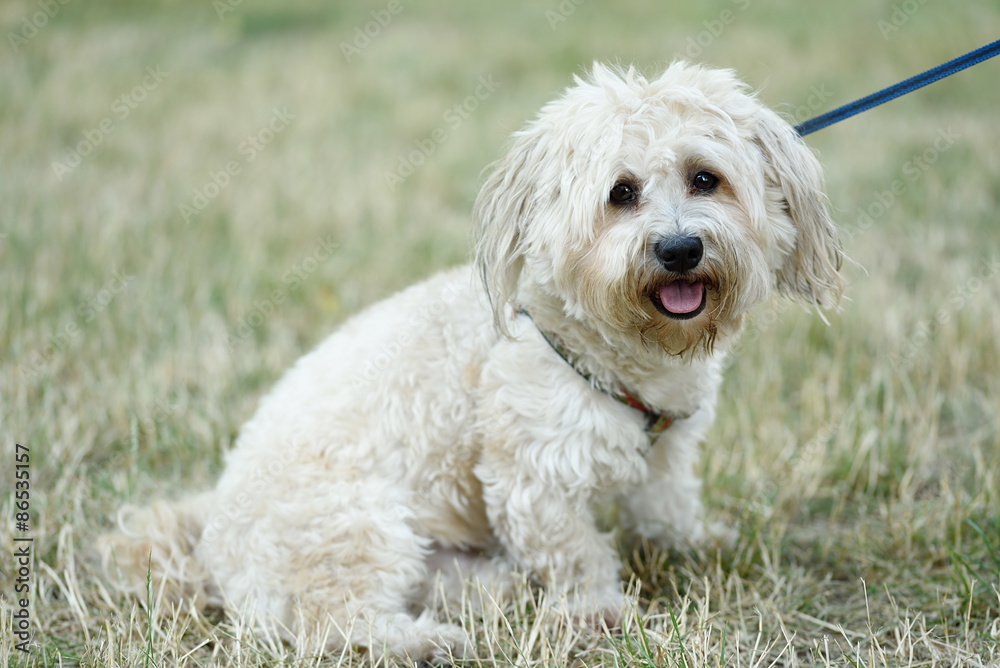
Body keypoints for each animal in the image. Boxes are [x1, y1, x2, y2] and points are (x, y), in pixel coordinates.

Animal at [105, 61, 844, 656]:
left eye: (705, 179)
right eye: (621, 194)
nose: (680, 249)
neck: (600, 343)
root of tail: (211, 541)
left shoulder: (666, 451)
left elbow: (666, 507)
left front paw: (700, 541)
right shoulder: (535, 475)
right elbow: (575, 553)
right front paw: (599, 612)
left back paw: (498, 591)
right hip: (358, 525)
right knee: (330, 622)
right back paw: (425, 642)